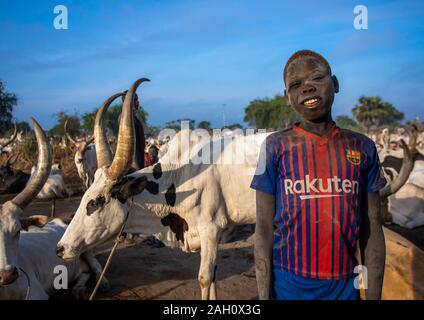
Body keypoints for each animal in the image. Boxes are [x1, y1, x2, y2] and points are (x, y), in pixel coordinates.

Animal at [0, 118, 107, 300]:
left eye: (17, 231)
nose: (6, 275)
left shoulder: (37, 293)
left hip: (83, 248)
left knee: (95, 268)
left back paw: (101, 283)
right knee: (83, 272)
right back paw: (78, 289)